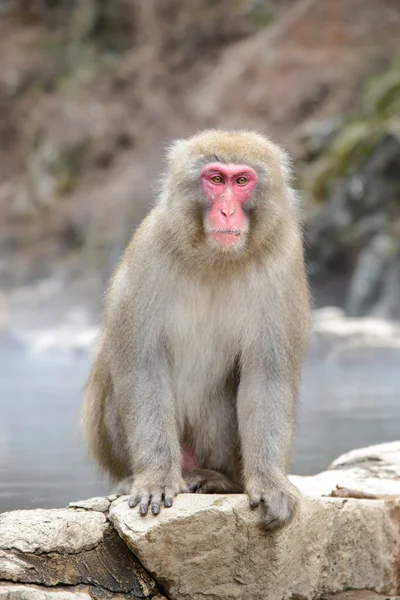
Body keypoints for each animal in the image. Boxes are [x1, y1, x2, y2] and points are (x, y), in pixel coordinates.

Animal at [81, 129, 310, 532]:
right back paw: (136, 477)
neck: (216, 259)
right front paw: (155, 479)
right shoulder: (149, 251)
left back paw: (217, 479)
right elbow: (143, 369)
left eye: (242, 181)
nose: (226, 211)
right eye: (216, 179)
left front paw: (270, 484)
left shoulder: (283, 263)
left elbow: (267, 377)